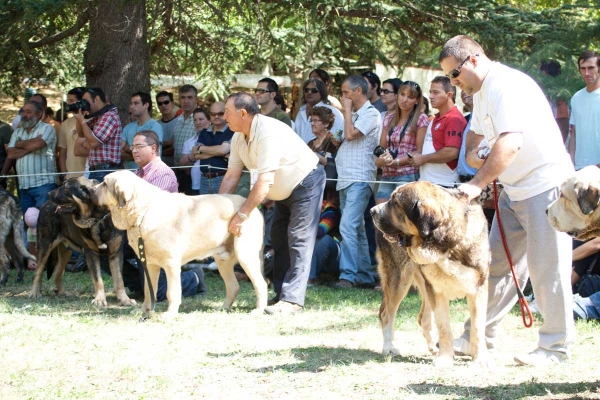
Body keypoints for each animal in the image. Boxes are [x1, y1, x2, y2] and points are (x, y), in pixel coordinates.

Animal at [28, 176, 135, 306]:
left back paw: (62, 293)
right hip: (45, 244)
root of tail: (45, 204)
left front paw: (125, 299)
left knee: (57, 273)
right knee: (38, 272)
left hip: (65, 252)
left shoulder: (115, 253)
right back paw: (35, 292)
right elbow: (98, 279)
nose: (49, 193)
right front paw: (100, 299)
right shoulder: (91, 253)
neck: (97, 218)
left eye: (66, 188)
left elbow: (119, 280)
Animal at [90, 170, 266, 318]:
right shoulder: (150, 265)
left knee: (260, 284)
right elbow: (149, 291)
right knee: (233, 286)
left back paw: (258, 310)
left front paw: (170, 314)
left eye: (104, 183)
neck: (142, 213)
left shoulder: (171, 264)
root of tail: (255, 209)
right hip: (222, 261)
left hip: (245, 256)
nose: (91, 189)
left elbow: (172, 292)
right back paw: (223, 308)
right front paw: (145, 311)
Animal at [370, 181, 492, 366]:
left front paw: (480, 359)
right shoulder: (436, 291)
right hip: (399, 279)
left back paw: (433, 347)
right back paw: (389, 348)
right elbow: (444, 328)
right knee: (386, 314)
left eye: (395, 203)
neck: (446, 244)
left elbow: (477, 328)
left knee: (423, 318)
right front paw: (445, 359)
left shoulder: (478, 289)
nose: (372, 211)